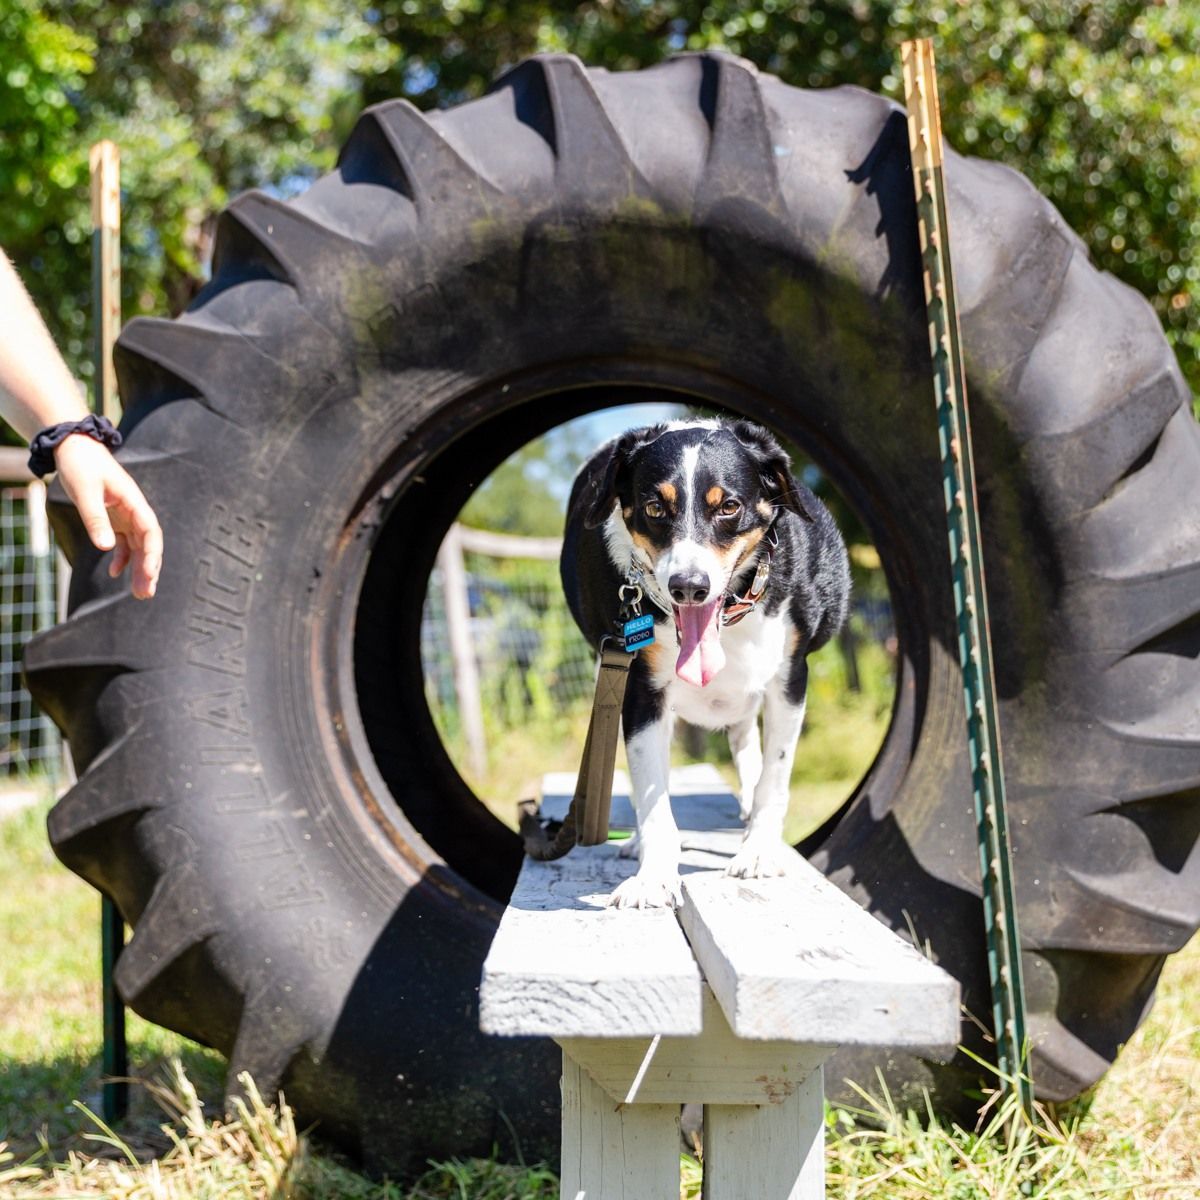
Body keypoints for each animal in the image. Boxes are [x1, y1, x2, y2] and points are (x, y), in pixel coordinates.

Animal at [561, 417, 854, 902]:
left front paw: (759, 851)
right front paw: (653, 875)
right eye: (655, 507)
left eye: (729, 506)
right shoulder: (641, 688)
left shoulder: (789, 678)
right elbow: (652, 792)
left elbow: (774, 775)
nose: (688, 587)